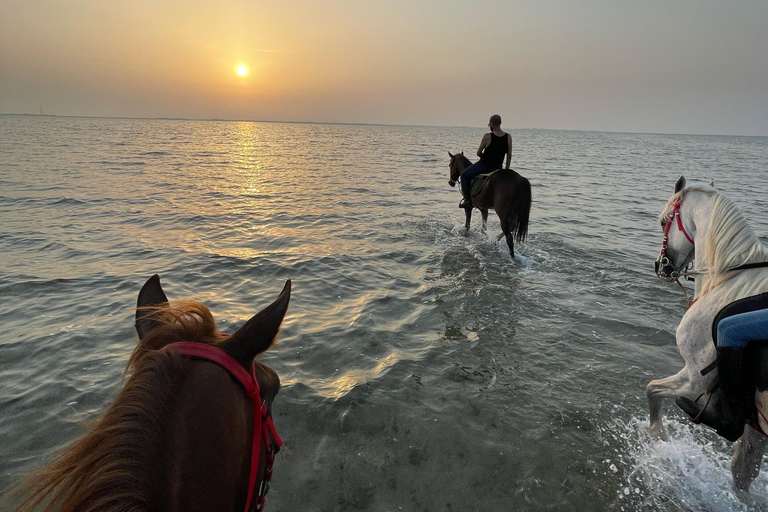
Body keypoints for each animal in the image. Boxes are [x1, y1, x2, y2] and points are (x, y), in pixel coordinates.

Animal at [647, 176, 768, 491]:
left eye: (663, 220)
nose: (660, 266)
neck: (727, 281)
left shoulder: (694, 380)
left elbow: (652, 388)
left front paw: (658, 434)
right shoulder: (756, 424)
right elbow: (742, 471)